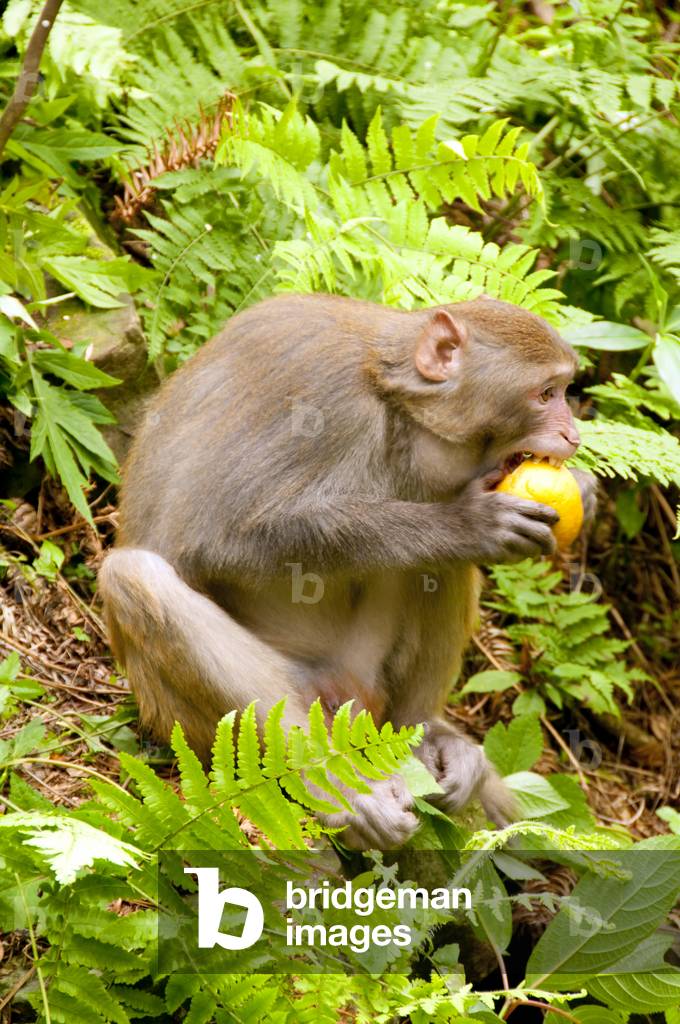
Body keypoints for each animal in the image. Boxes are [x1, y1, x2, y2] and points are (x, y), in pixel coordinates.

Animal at [99, 294, 596, 850]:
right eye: (546, 393)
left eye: (564, 391)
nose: (573, 436)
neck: (389, 390)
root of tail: (347, 698)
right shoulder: (325, 404)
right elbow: (222, 538)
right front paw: (465, 523)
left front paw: (584, 490)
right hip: (199, 719)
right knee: (135, 578)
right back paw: (334, 787)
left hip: (365, 676)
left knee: (437, 565)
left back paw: (424, 735)